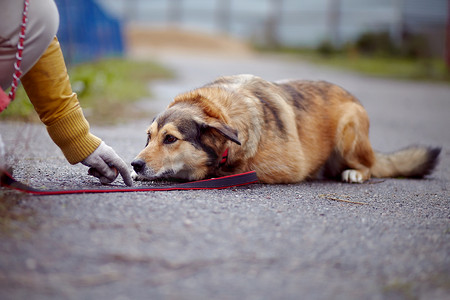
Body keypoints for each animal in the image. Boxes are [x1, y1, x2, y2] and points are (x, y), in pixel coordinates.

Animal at [130, 74, 440, 184]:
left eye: (170, 139)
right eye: (148, 137)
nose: (135, 164)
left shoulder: (283, 169)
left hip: (349, 129)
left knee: (369, 166)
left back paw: (354, 172)